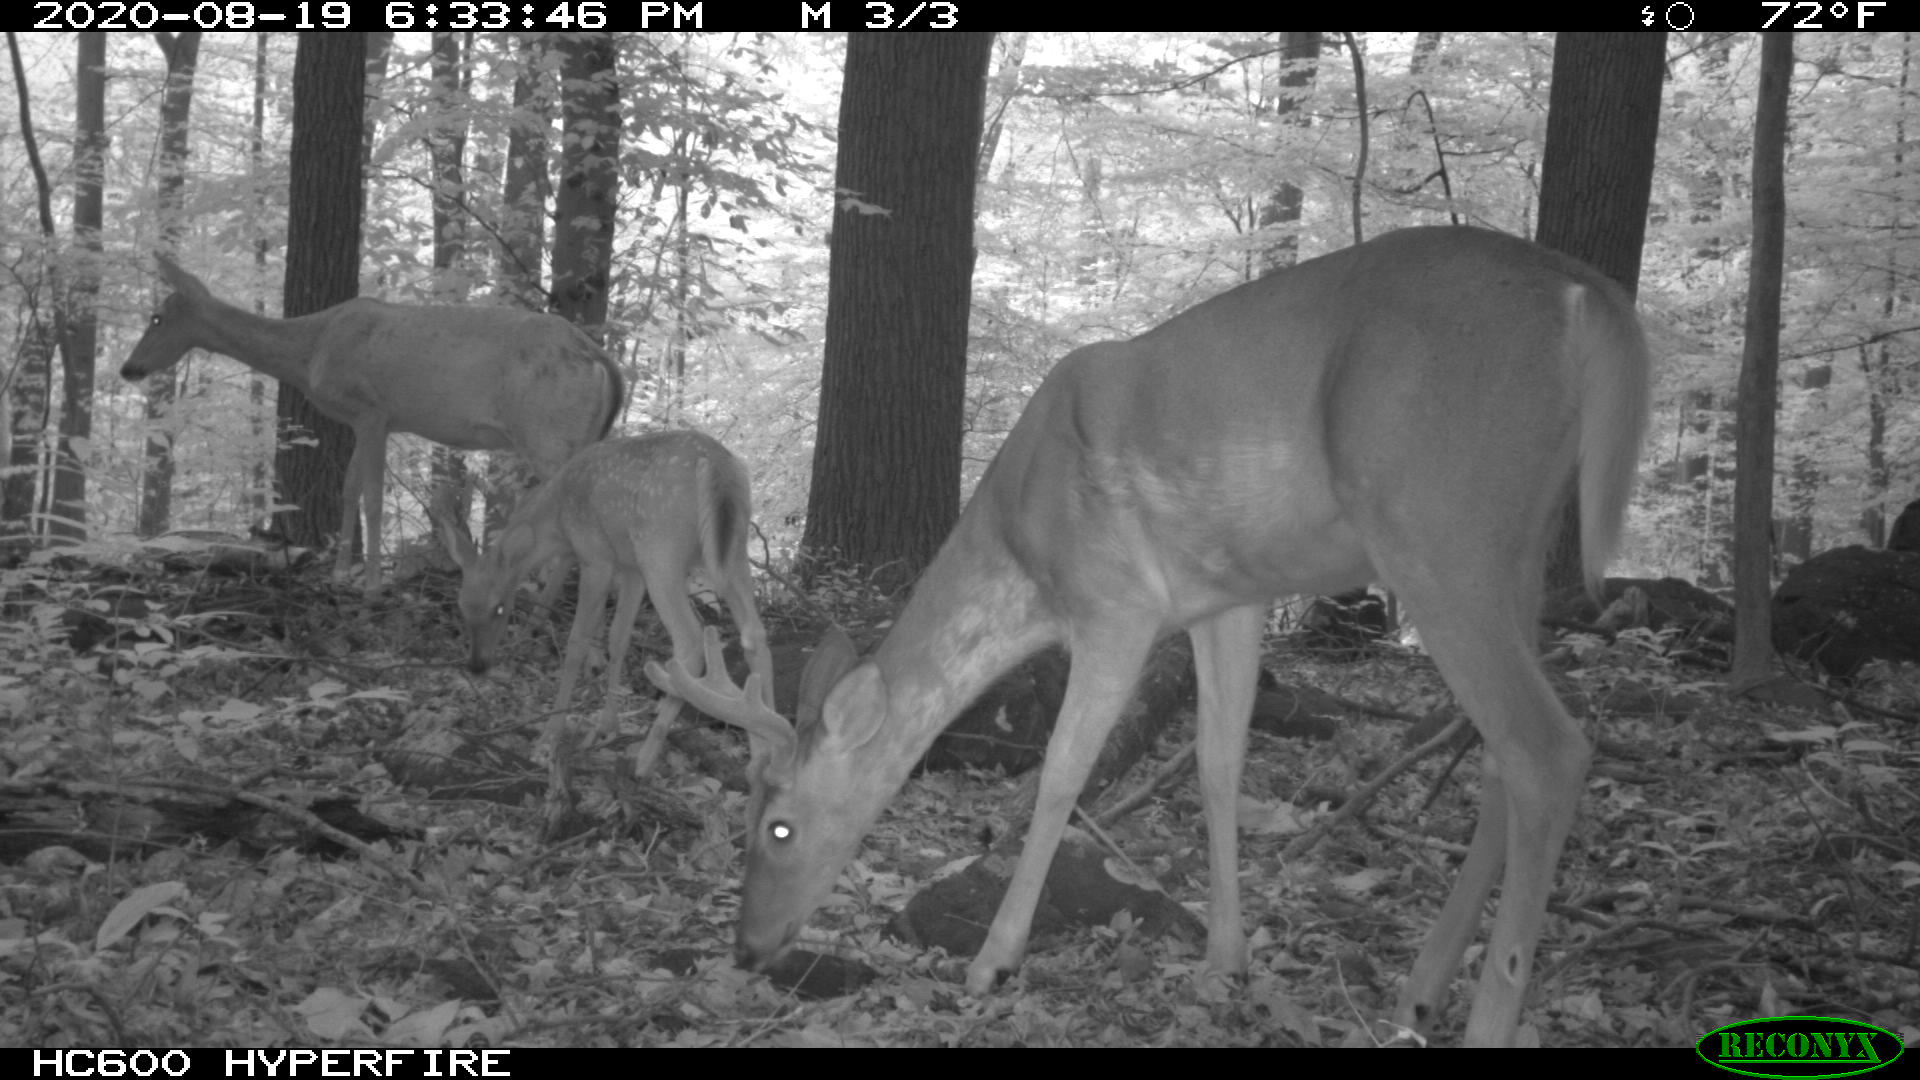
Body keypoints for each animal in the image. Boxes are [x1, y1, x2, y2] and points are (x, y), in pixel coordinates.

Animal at [120, 253, 625, 588]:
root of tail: (598, 355)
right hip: (576, 435)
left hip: (548, 432)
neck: (313, 349)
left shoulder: (373, 410)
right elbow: (348, 490)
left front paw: (374, 582)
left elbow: (373, 497)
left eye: (156, 317)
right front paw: (342, 572)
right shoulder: (361, 419)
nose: (128, 368)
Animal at [439, 428, 775, 834]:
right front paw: (606, 725)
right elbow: (618, 638)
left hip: (660, 548)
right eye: (461, 607)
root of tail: (717, 465)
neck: (559, 520)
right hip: (731, 551)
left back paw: (645, 761)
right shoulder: (629, 568)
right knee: (755, 635)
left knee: (691, 642)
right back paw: (766, 763)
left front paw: (550, 735)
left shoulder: (596, 557)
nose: (477, 665)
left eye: (500, 608)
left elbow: (577, 643)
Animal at [648, 226, 1651, 1045]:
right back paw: (1418, 991)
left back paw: (1483, 1016)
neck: (1024, 556)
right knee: (1501, 756)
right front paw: (1226, 959)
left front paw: (993, 960)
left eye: (776, 825)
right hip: (1514, 549)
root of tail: (1589, 296)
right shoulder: (1225, 599)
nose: (746, 949)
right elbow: (1216, 766)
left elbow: (1059, 775)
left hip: (1438, 524)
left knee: (1548, 749)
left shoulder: (1115, 602)